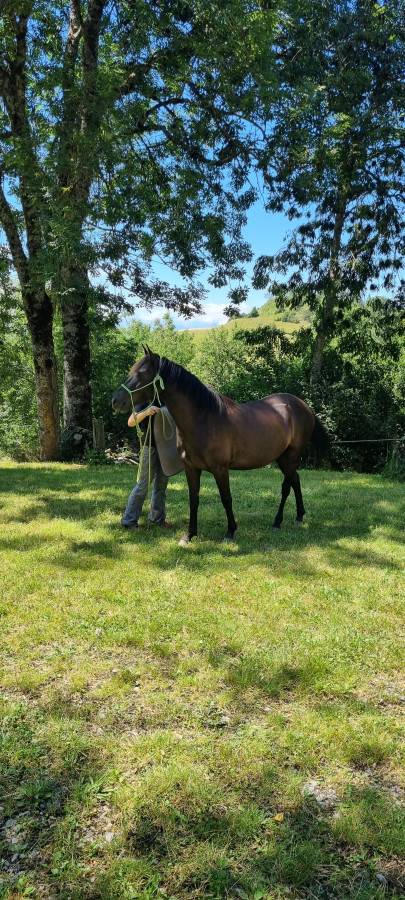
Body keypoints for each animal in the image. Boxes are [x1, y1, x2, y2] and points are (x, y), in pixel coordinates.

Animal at [112, 345, 329, 544]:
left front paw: (230, 532)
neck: (204, 419)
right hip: (282, 457)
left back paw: (278, 521)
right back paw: (299, 516)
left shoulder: (220, 469)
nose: (115, 401)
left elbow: (226, 498)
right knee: (296, 480)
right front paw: (189, 535)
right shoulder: (191, 468)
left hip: (292, 456)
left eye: (142, 373)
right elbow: (193, 499)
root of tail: (303, 405)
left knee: (286, 486)